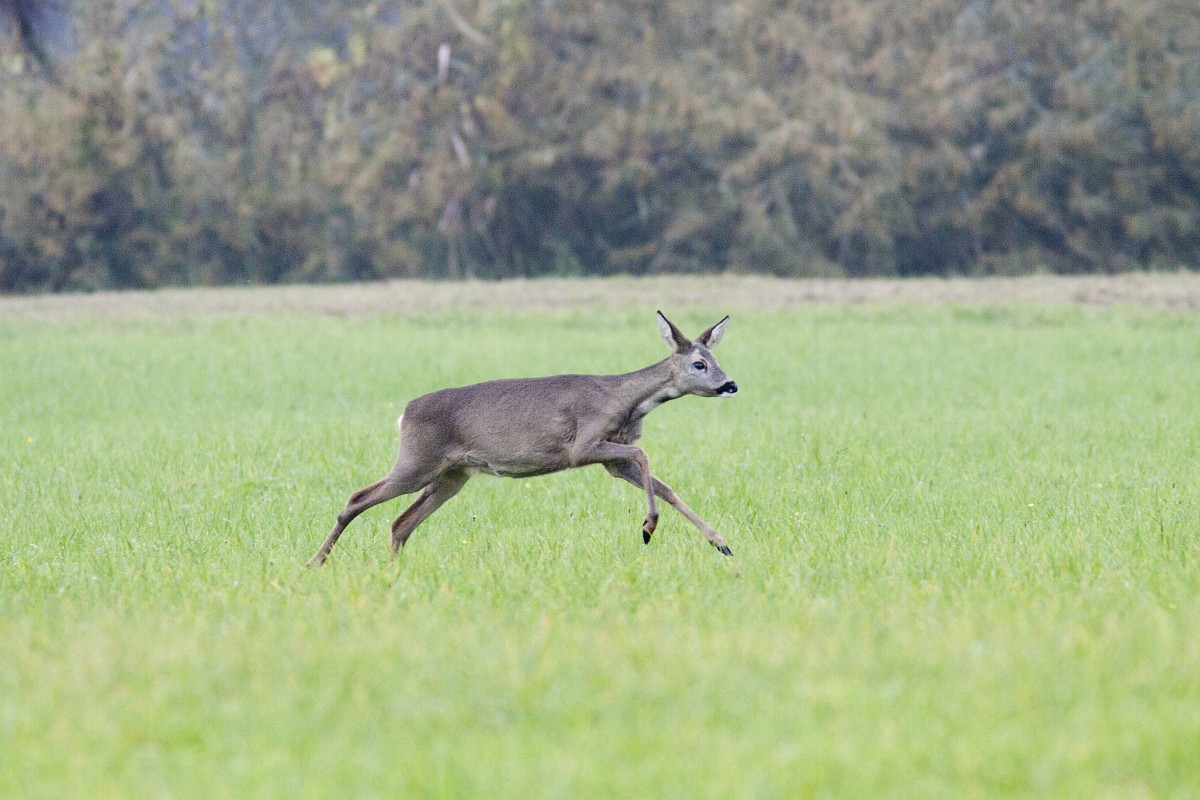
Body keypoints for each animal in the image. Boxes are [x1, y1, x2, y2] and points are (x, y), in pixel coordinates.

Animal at [308, 311, 738, 566]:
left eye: (716, 360)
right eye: (699, 364)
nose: (730, 385)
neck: (624, 400)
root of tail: (404, 414)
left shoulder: (611, 461)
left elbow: (665, 486)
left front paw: (721, 543)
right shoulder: (583, 444)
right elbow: (644, 454)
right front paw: (648, 527)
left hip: (451, 475)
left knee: (400, 522)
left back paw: (392, 571)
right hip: (417, 461)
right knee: (357, 499)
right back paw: (317, 561)